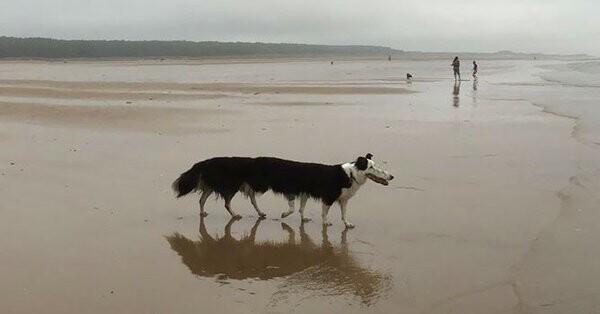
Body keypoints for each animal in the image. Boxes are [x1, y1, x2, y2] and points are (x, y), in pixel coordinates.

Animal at [170, 153, 394, 227]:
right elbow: (306, 210)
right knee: (225, 201)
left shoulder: (338, 198)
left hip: (233, 185)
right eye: (372, 167)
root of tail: (208, 161)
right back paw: (235, 214)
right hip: (232, 186)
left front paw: (346, 224)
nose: (391, 177)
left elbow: (341, 213)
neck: (350, 175)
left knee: (203, 198)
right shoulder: (322, 196)